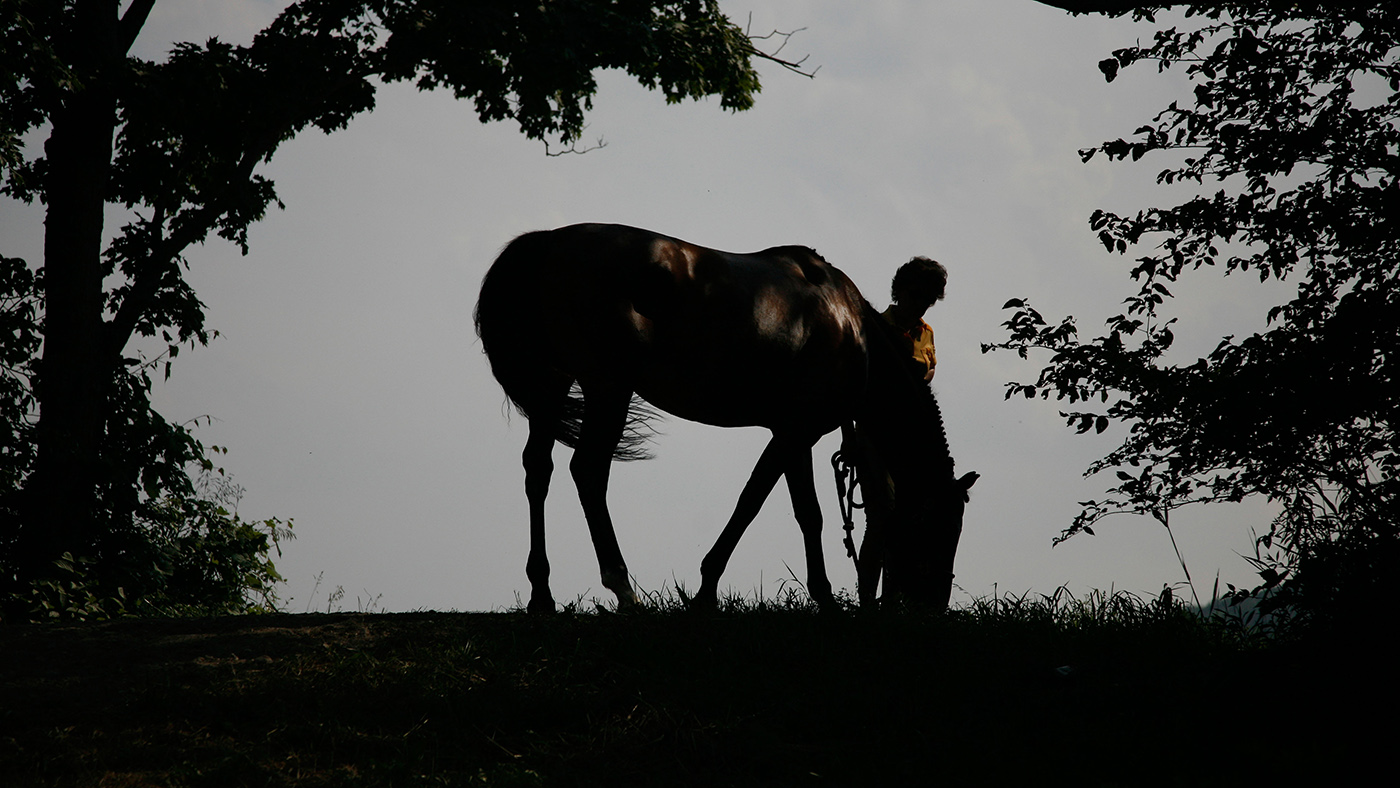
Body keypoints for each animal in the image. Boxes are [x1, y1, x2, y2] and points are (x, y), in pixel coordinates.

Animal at [474, 223, 977, 612]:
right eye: (943, 528)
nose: (933, 607)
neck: (855, 332)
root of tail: (548, 244)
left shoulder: (792, 433)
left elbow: (781, 507)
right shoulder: (796, 431)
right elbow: (775, 507)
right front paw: (810, 597)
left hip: (553, 385)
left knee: (539, 470)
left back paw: (542, 594)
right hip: (607, 389)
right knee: (589, 472)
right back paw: (624, 590)